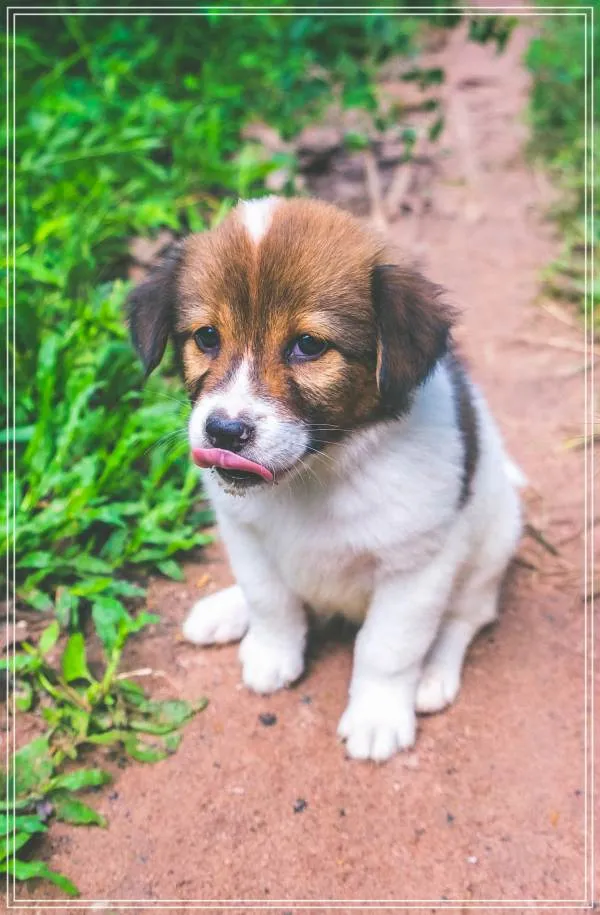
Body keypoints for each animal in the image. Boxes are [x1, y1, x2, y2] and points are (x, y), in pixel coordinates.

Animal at [128, 196, 522, 762]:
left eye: (309, 346)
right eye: (206, 337)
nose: (223, 431)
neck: (316, 474)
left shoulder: (416, 566)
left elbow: (388, 646)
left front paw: (378, 715)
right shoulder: (244, 532)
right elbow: (269, 599)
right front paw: (272, 651)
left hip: (491, 547)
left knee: (466, 617)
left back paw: (434, 675)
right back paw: (226, 611)